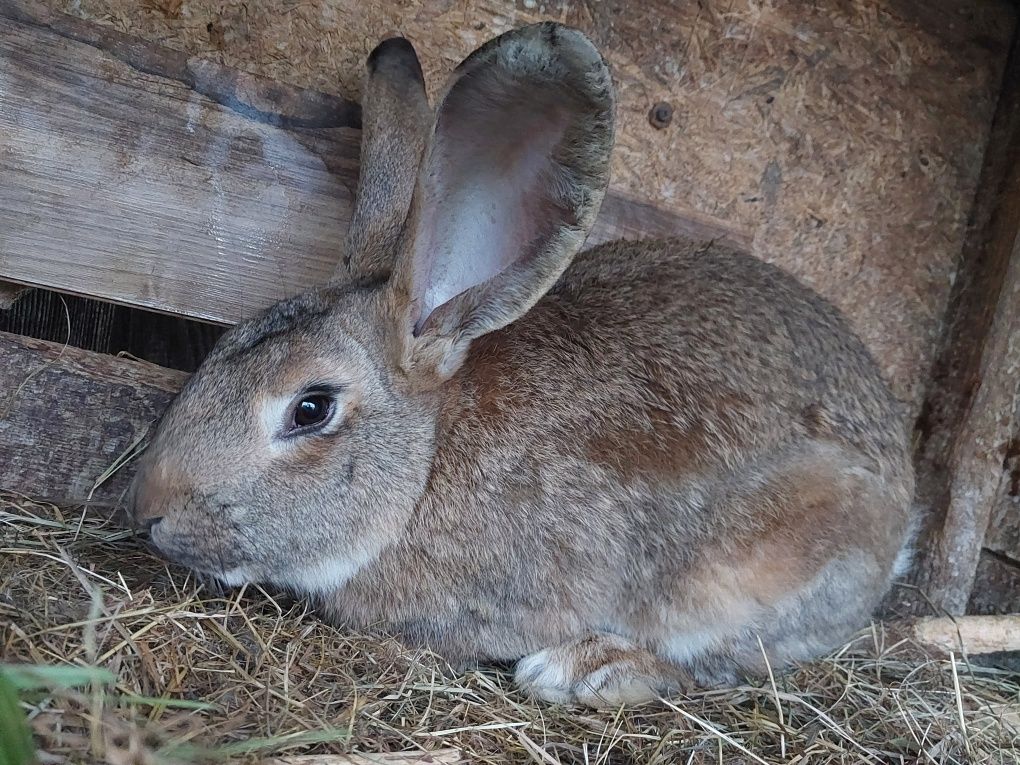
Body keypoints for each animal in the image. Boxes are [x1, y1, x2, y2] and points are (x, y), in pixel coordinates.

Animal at [127, 22, 918, 705]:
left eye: (311, 407)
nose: (149, 508)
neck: (426, 464)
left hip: (751, 572)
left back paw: (588, 669)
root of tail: (901, 508)